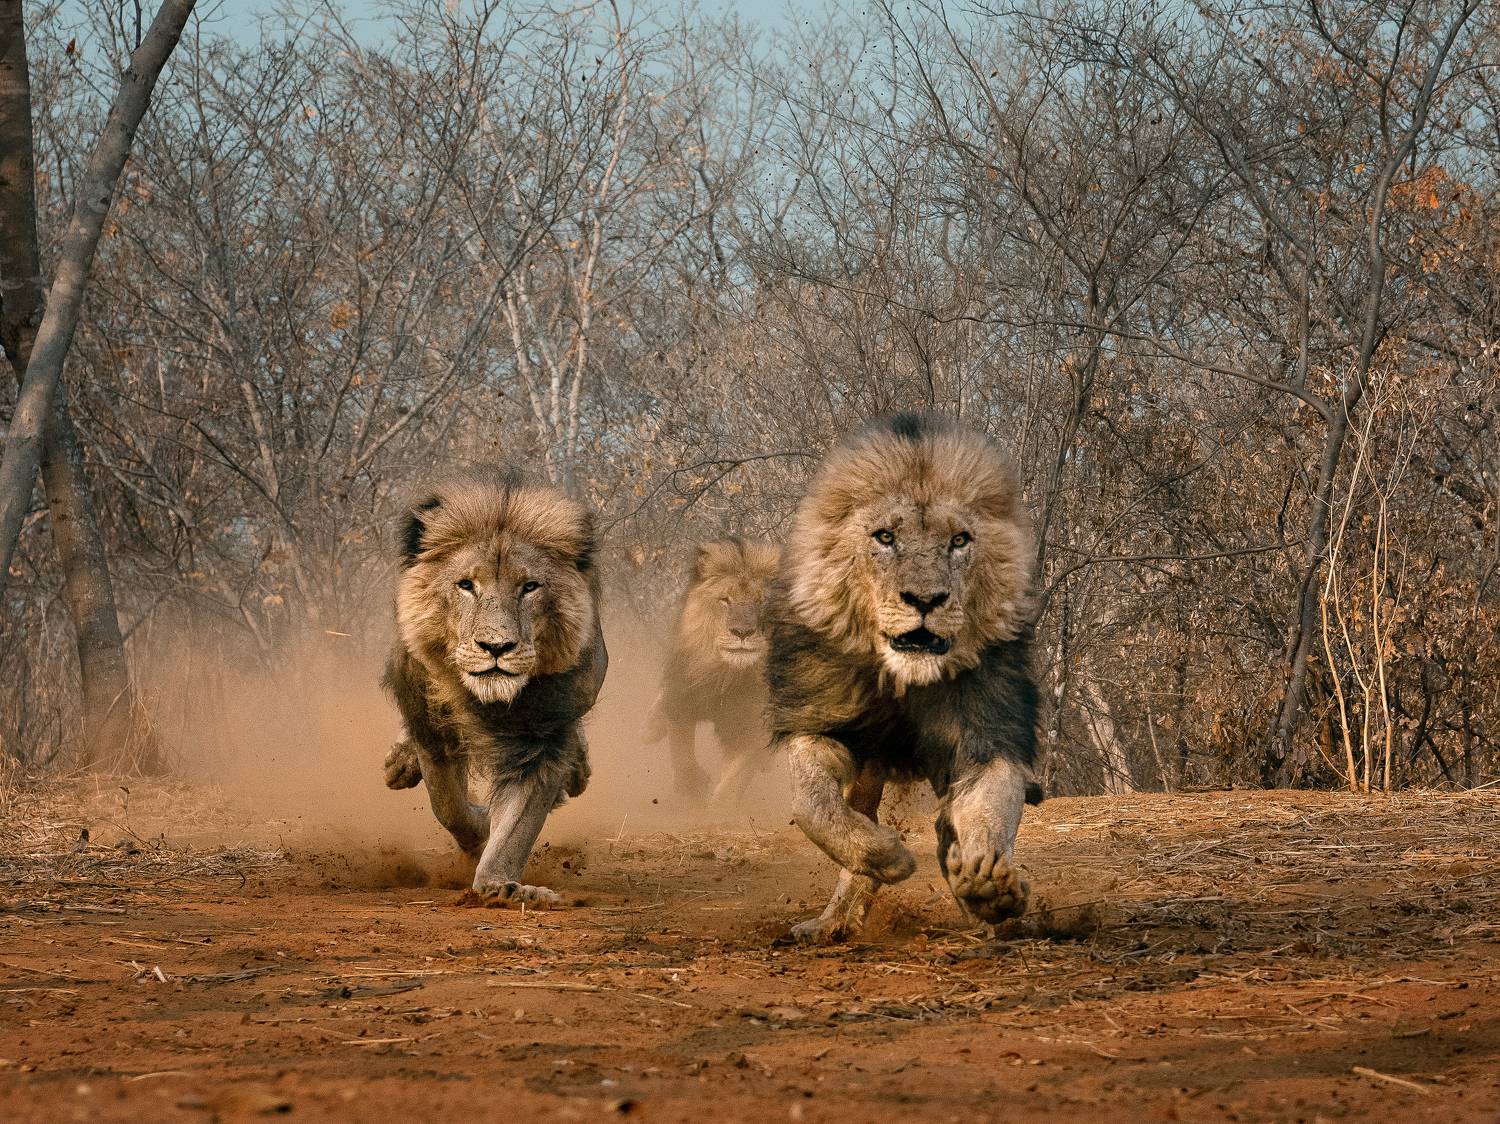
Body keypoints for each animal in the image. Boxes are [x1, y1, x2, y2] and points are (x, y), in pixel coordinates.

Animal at [380, 468, 607, 906]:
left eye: (530, 587)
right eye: (466, 585)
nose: (497, 647)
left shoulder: (544, 740)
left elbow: (518, 826)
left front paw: (503, 886)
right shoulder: (430, 726)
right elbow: (448, 804)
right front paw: (480, 828)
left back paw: (578, 773)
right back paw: (400, 763)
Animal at [647, 538, 780, 802]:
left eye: (761, 601)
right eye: (725, 600)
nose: (742, 632)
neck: (725, 674)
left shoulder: (750, 726)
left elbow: (733, 780)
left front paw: (717, 804)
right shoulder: (682, 696)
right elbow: (681, 749)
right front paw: (691, 786)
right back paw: (651, 726)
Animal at [766, 413, 1043, 943]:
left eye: (959, 540)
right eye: (884, 538)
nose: (925, 599)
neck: (904, 680)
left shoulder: (986, 736)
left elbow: (990, 809)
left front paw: (988, 886)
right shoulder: (821, 723)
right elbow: (812, 804)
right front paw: (887, 855)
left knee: (949, 822)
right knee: (859, 812)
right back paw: (835, 918)